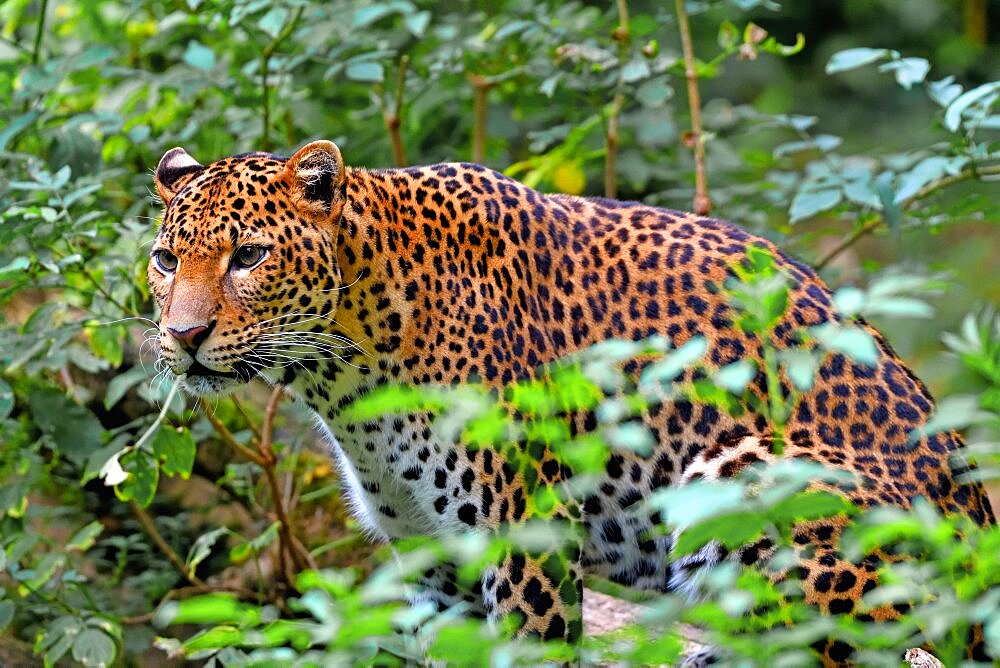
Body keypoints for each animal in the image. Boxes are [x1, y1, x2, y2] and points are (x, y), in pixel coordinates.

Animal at [146, 140, 992, 664]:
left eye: (250, 256)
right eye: (164, 259)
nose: (183, 335)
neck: (349, 375)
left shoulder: (525, 539)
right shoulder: (433, 560)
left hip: (753, 479)